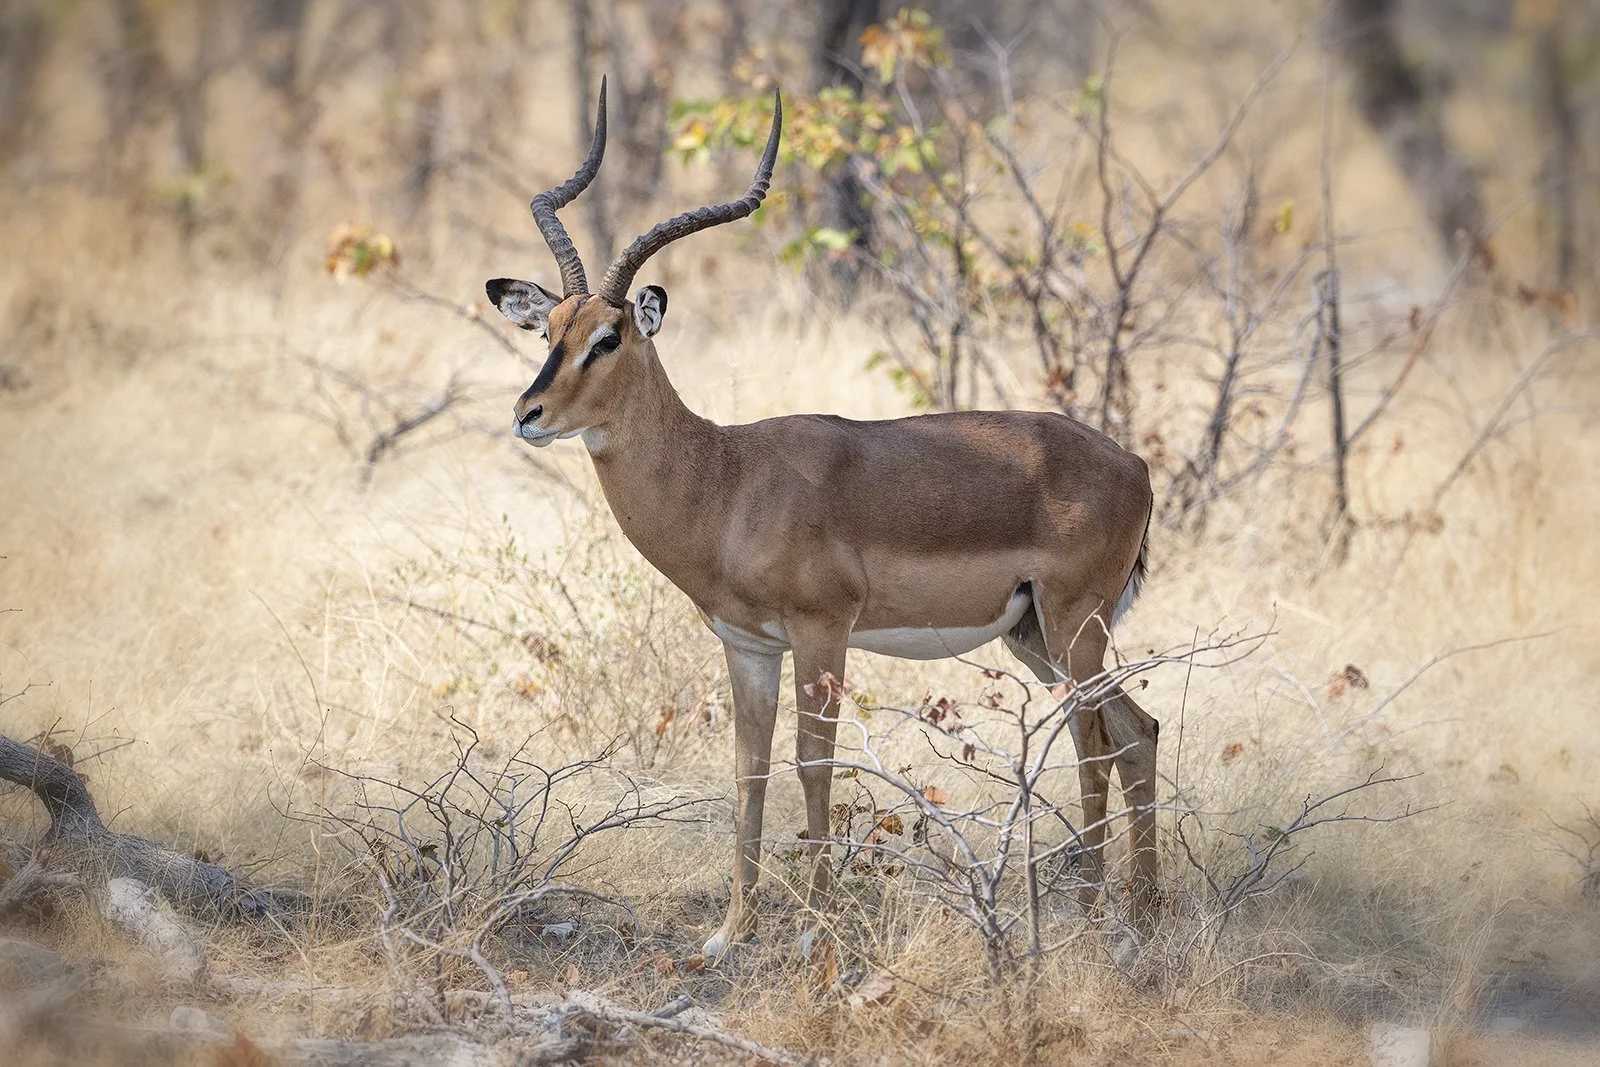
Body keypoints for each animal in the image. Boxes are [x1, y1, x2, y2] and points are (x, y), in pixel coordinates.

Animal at [486, 80, 1160, 960]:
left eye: (609, 336)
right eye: (547, 328)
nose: (528, 414)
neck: (727, 478)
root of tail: (1134, 464)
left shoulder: (822, 633)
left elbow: (814, 765)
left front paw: (814, 930)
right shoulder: (747, 646)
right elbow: (749, 771)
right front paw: (728, 934)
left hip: (1074, 625)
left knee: (1094, 744)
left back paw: (1097, 922)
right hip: (1036, 634)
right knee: (1137, 731)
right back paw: (1144, 909)